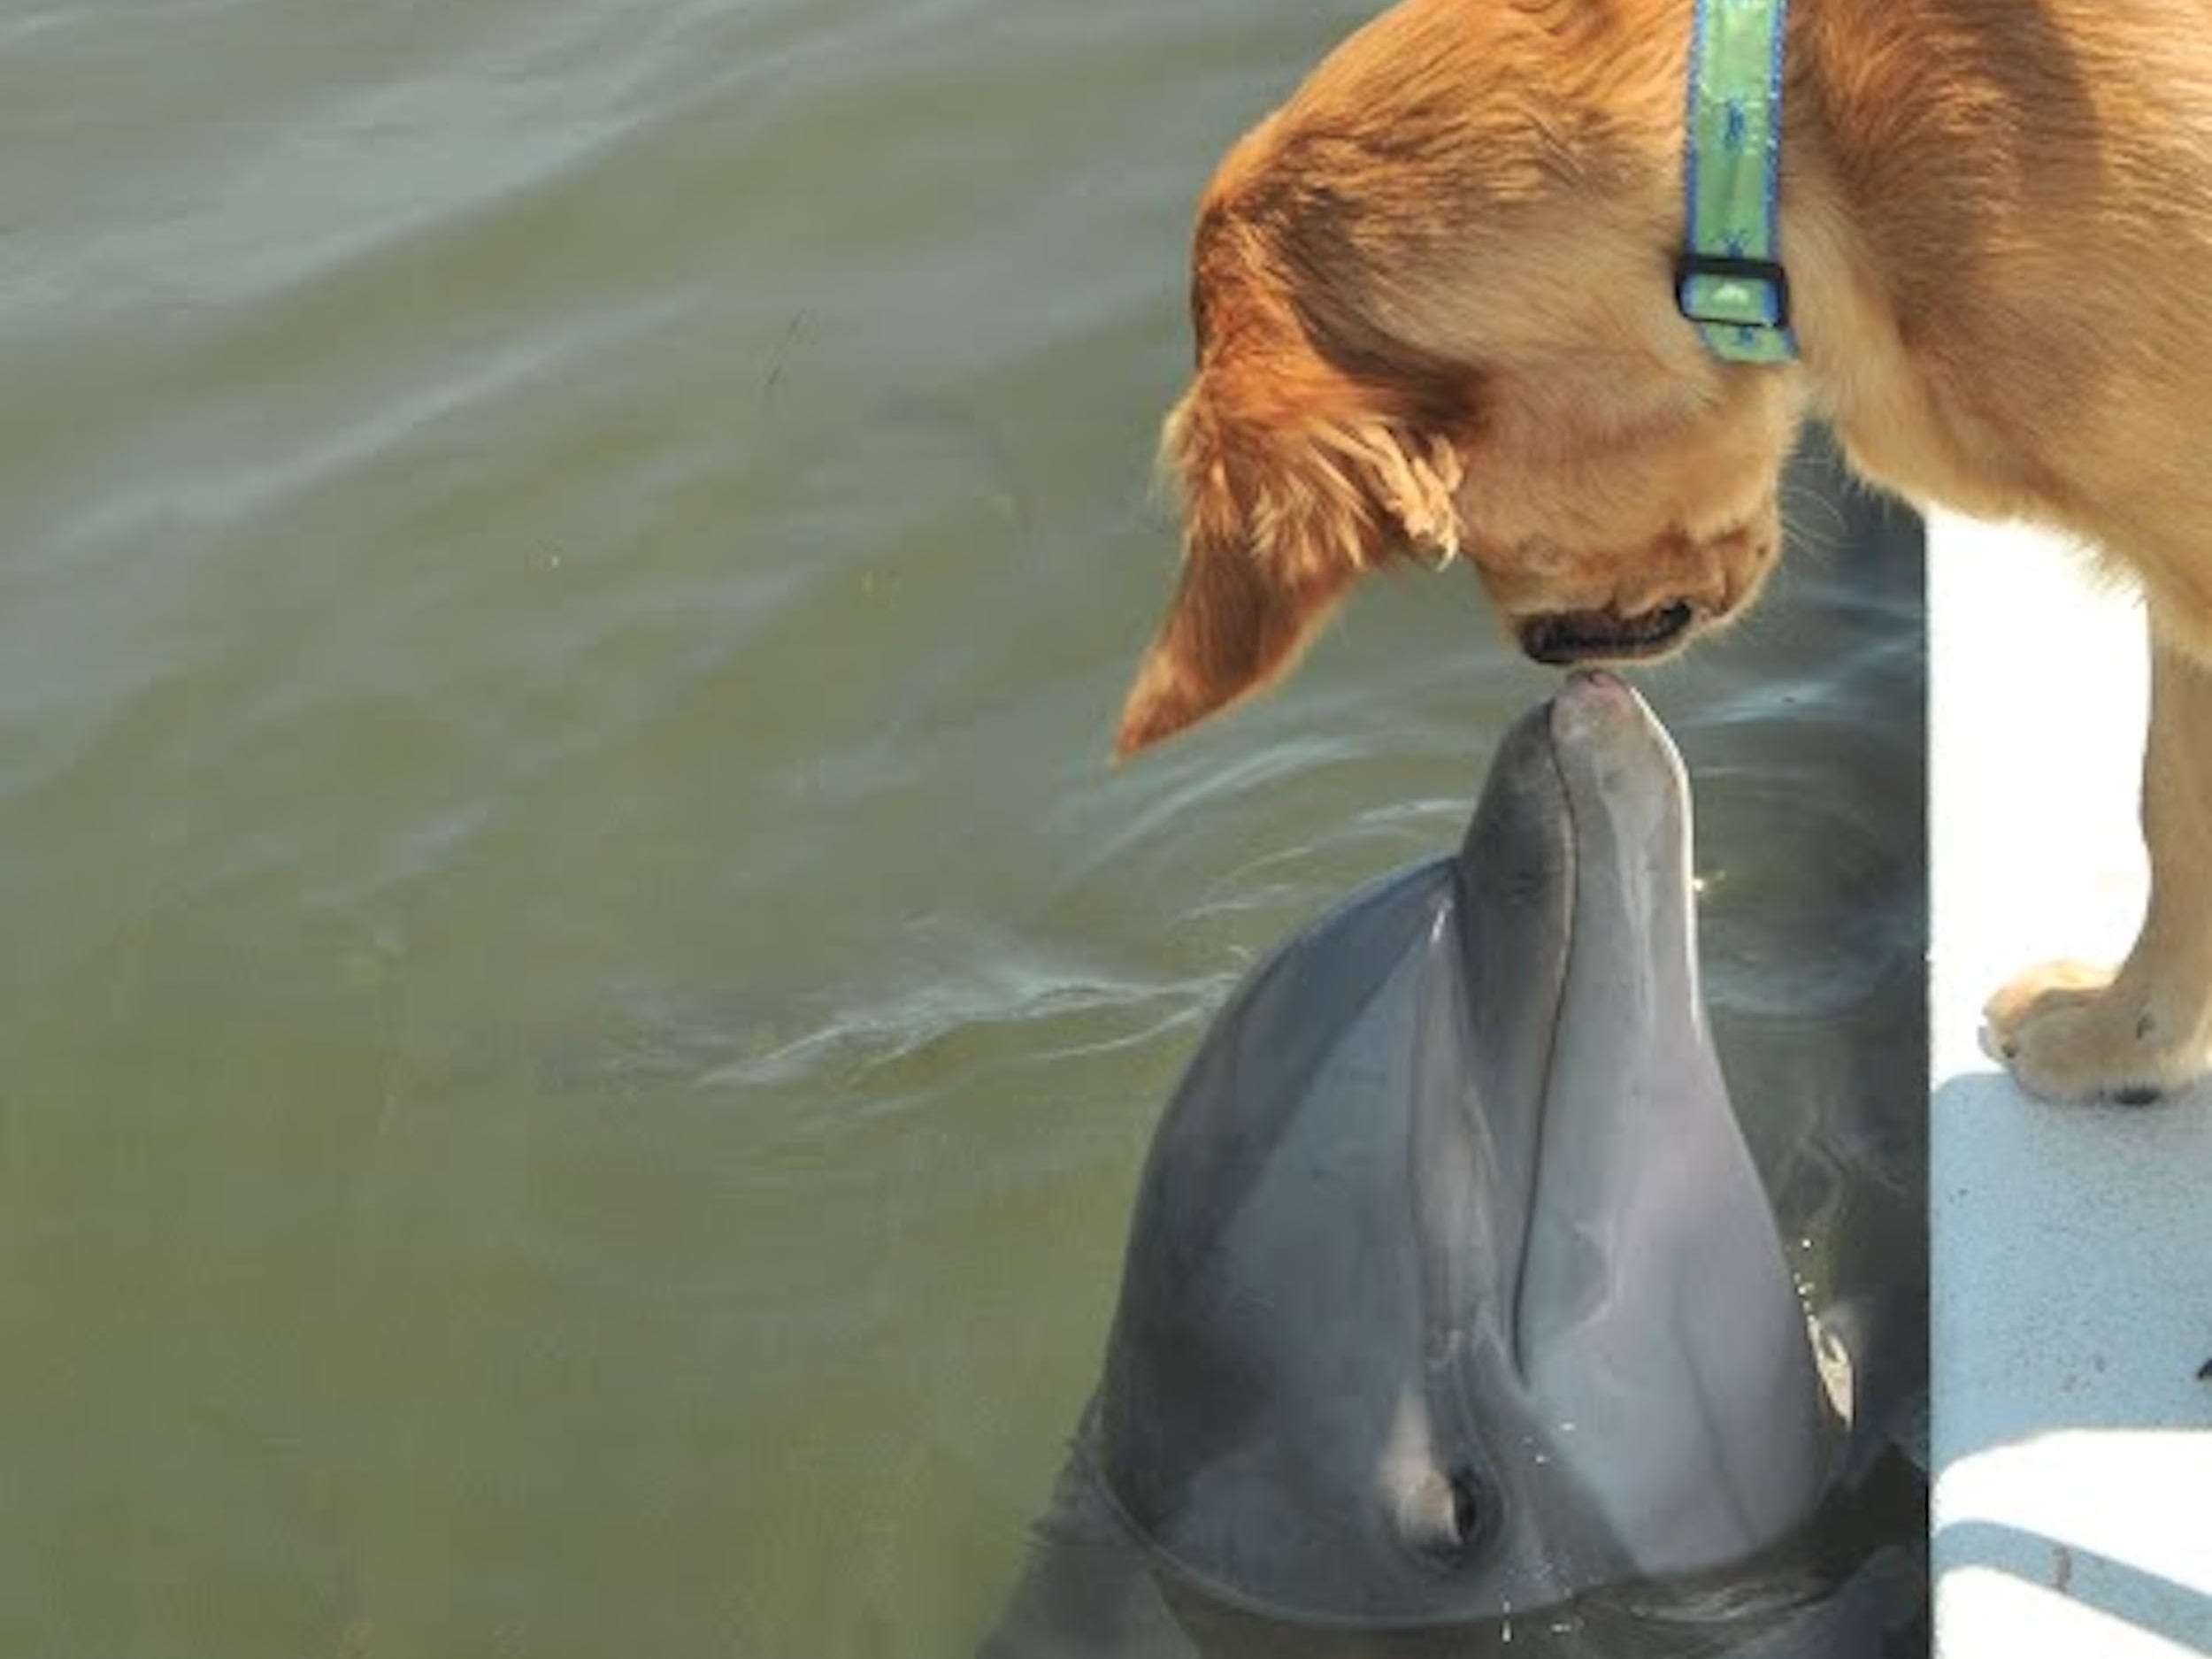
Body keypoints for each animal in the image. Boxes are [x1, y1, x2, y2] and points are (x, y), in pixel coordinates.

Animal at [1115, 3, 2212, 1119]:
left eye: (1452, 534)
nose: (1549, 657)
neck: (1783, 136)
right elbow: (2170, 803)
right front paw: (2124, 1037)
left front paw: (2115, 1037)